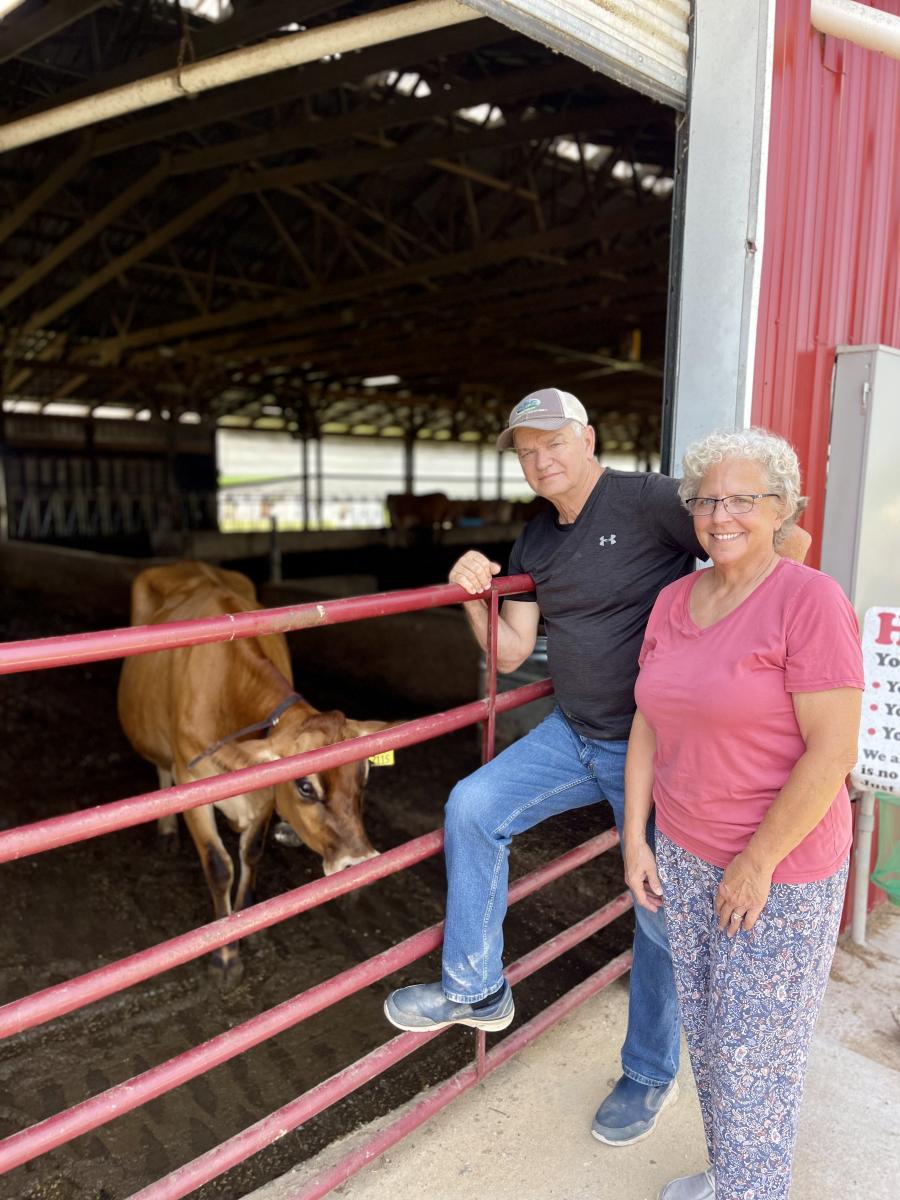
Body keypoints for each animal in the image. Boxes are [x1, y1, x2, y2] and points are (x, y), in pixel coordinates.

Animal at [117, 561, 388, 984]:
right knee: (161, 771)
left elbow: (253, 852)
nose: (359, 864)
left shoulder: (263, 791)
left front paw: (252, 923)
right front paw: (226, 955)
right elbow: (219, 866)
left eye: (364, 776)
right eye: (305, 786)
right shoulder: (192, 782)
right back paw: (166, 829)